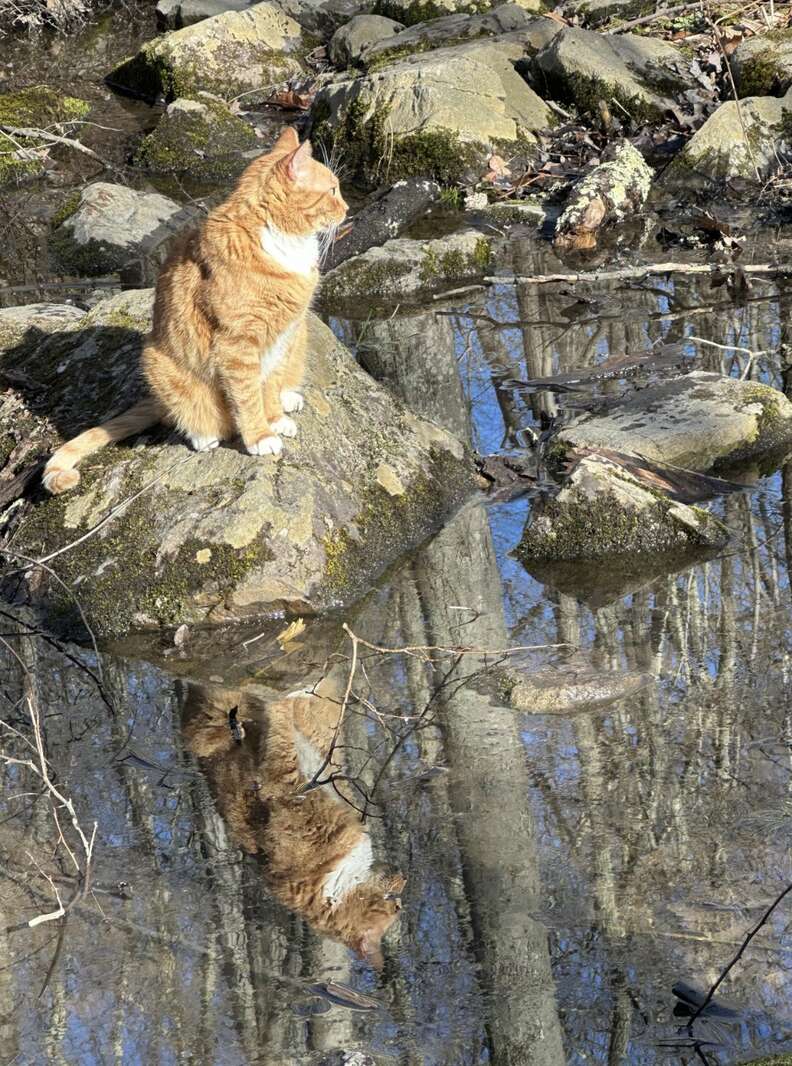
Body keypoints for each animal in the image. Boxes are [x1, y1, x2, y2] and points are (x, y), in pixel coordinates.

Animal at [42, 125, 347, 494]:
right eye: (332, 190)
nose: (347, 209)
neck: (283, 245)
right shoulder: (238, 345)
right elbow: (248, 395)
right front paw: (261, 434)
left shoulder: (284, 335)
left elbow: (270, 385)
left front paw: (275, 416)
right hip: (156, 361)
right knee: (184, 415)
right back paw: (204, 436)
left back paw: (288, 398)